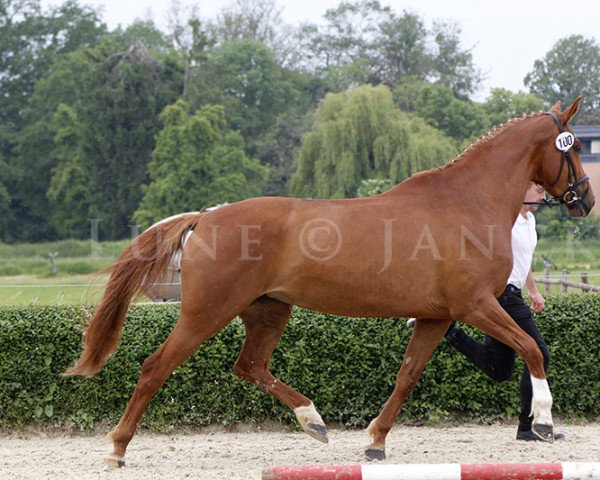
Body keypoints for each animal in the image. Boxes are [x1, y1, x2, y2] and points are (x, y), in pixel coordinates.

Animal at [67, 97, 596, 464]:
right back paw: (117, 449)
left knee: (249, 366)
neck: (467, 202)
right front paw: (544, 421)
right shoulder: (476, 305)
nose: (586, 201)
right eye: (573, 148)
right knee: (156, 367)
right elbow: (530, 349)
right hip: (206, 313)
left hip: (269, 310)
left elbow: (407, 377)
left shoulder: (435, 316)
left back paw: (313, 421)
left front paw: (376, 442)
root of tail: (207, 217)